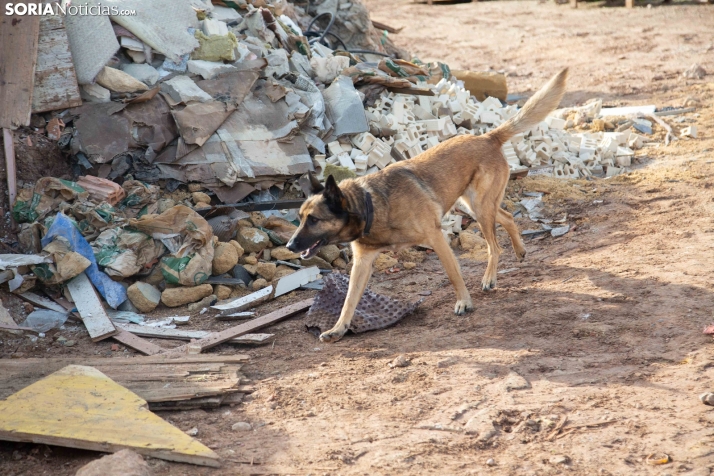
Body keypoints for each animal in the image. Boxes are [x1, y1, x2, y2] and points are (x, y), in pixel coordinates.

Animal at [286, 68, 568, 342]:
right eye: (300, 218)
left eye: (314, 219)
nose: (289, 246)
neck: (371, 206)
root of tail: (488, 137)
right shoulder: (362, 262)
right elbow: (349, 300)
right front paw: (338, 329)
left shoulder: (436, 237)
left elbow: (453, 274)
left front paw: (464, 302)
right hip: (473, 206)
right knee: (507, 216)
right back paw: (519, 250)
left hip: (479, 207)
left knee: (494, 247)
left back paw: (490, 277)